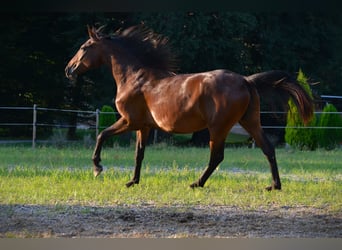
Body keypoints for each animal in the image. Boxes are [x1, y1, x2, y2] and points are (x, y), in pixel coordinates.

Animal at [65, 24, 314, 189]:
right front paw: (132, 181)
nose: (69, 69)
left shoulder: (129, 121)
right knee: (268, 148)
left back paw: (196, 183)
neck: (135, 78)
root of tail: (246, 80)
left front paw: (97, 168)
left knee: (217, 157)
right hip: (250, 122)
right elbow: (139, 154)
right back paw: (274, 185)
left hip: (218, 128)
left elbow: (102, 135)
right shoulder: (143, 127)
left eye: (85, 47)